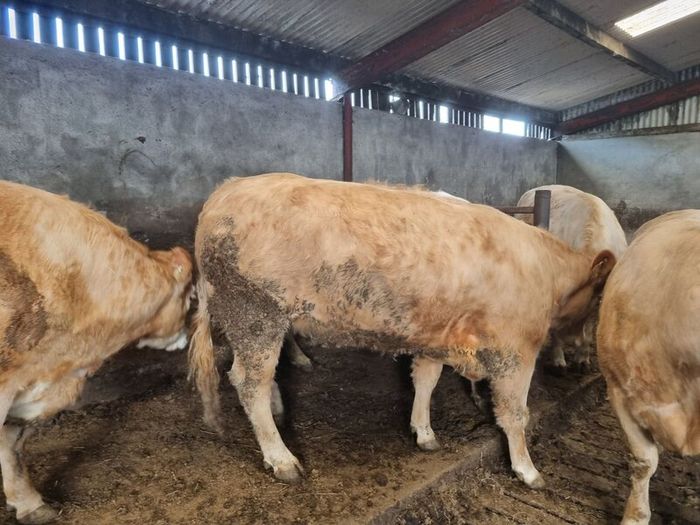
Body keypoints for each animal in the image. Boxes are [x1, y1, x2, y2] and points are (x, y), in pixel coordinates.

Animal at [188, 173, 614, 487]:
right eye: (599, 298)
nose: (586, 347)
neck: (544, 267)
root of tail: (226, 190)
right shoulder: (516, 350)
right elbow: (514, 413)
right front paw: (527, 469)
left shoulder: (435, 333)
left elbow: (425, 379)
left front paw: (423, 432)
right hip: (254, 312)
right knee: (248, 382)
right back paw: (281, 459)